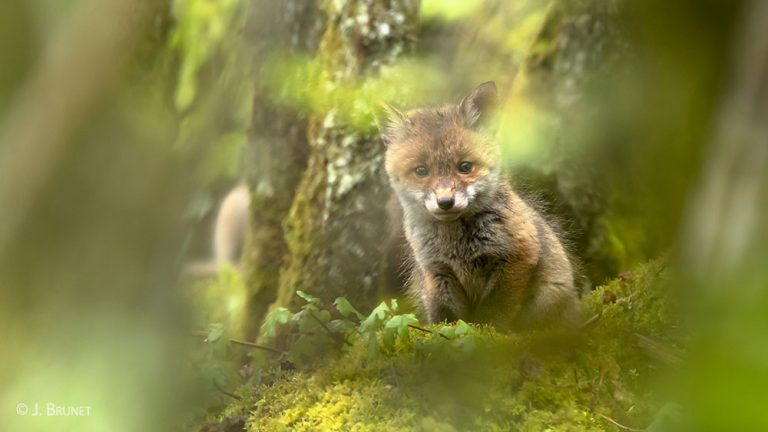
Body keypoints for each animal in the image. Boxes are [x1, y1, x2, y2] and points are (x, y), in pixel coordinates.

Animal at [380, 82, 580, 330]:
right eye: (421, 171)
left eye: (465, 166)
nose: (445, 202)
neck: (456, 246)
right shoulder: (437, 272)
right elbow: (446, 317)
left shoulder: (517, 257)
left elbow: (492, 312)